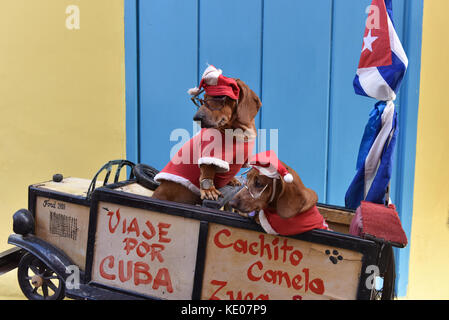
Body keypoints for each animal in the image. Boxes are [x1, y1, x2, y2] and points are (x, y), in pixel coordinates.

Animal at [152, 65, 260, 205]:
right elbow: (207, 171)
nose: (196, 118)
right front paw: (209, 190)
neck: (237, 132)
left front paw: (231, 180)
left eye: (219, 97)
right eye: (203, 98)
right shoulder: (210, 153)